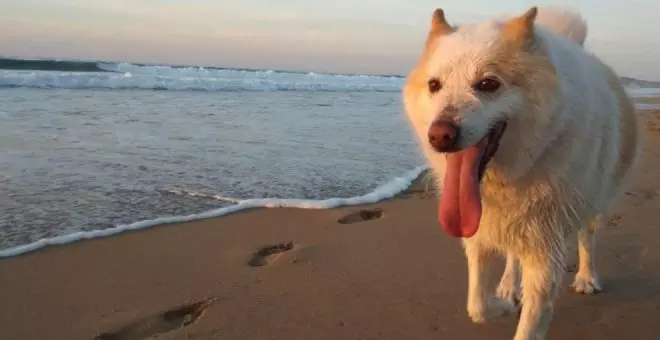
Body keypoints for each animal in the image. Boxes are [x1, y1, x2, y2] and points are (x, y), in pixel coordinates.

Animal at [400, 5, 640, 340]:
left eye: (488, 84)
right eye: (434, 85)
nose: (439, 136)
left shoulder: (545, 251)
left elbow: (529, 321)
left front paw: (514, 306)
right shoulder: (480, 235)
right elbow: (477, 305)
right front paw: (503, 304)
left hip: (595, 201)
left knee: (587, 238)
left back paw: (586, 278)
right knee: (513, 255)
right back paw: (508, 287)